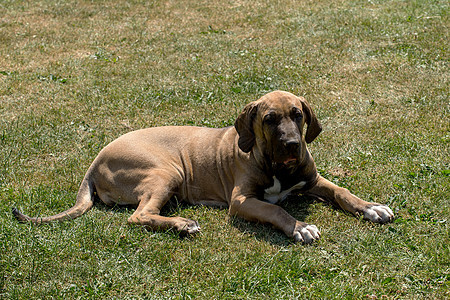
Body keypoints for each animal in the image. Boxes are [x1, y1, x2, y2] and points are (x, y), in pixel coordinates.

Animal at [13, 90, 394, 243]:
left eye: (297, 115)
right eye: (270, 119)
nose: (291, 145)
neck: (278, 168)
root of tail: (94, 162)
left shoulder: (312, 179)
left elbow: (342, 191)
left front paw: (371, 207)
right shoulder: (242, 201)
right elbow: (277, 210)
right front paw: (299, 227)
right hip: (167, 171)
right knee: (138, 216)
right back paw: (183, 224)